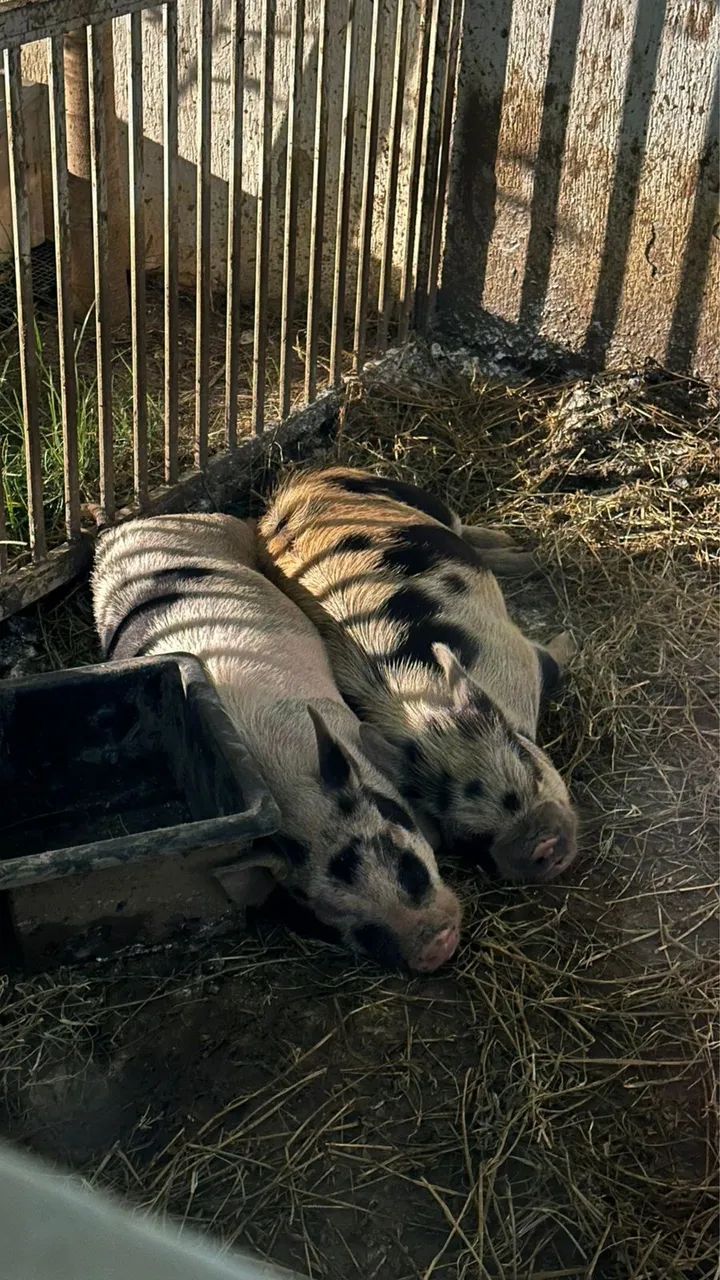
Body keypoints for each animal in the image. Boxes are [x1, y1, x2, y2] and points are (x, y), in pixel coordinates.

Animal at [91, 512, 461, 971]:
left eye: (405, 864)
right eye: (345, 919)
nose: (435, 948)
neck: (286, 783)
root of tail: (132, 523)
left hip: (226, 531)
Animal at [258, 467, 578, 883]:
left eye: (530, 770)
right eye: (473, 837)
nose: (540, 845)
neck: (425, 714)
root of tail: (295, 488)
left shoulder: (518, 654)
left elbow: (552, 662)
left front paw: (569, 638)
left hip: (413, 497)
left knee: (459, 523)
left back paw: (523, 553)